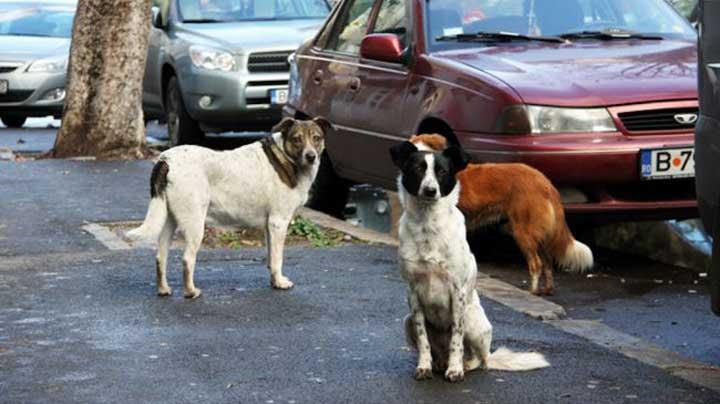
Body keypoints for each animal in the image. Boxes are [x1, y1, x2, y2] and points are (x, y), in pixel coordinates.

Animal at [128, 118, 330, 298]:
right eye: (297, 139)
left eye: (316, 137)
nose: (311, 156)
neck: (285, 158)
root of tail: (166, 159)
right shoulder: (278, 222)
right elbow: (277, 258)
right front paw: (279, 283)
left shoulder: (269, 225)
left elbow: (271, 257)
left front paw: (274, 280)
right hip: (195, 224)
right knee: (187, 260)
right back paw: (191, 292)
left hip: (168, 221)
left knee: (160, 257)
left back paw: (163, 289)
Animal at [390, 141, 548, 382]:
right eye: (418, 169)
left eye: (442, 171)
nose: (430, 190)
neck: (428, 225)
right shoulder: (413, 293)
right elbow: (423, 339)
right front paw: (423, 367)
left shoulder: (457, 292)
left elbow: (457, 337)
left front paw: (455, 370)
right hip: (407, 321)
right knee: (436, 352)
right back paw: (437, 364)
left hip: (473, 320)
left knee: (479, 359)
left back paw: (461, 364)